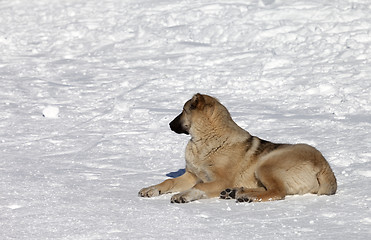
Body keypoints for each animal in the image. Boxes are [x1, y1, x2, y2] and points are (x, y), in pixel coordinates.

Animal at [139, 93, 338, 202]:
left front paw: (185, 195)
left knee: (277, 192)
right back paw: (236, 192)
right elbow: (169, 182)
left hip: (266, 163)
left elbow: (200, 187)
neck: (205, 141)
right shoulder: (192, 175)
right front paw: (152, 188)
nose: (169, 124)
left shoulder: (220, 180)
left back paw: (246, 196)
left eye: (184, 110)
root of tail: (325, 167)